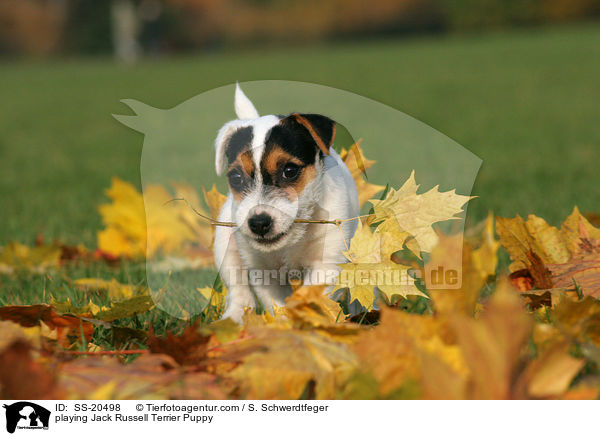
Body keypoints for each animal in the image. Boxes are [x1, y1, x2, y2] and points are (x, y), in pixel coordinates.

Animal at [213, 84, 358, 324]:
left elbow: (309, 297)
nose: (258, 223)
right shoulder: (262, 270)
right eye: (235, 177)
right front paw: (281, 324)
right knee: (239, 290)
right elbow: (276, 305)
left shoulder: (327, 262)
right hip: (225, 243)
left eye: (289, 171)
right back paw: (233, 319)